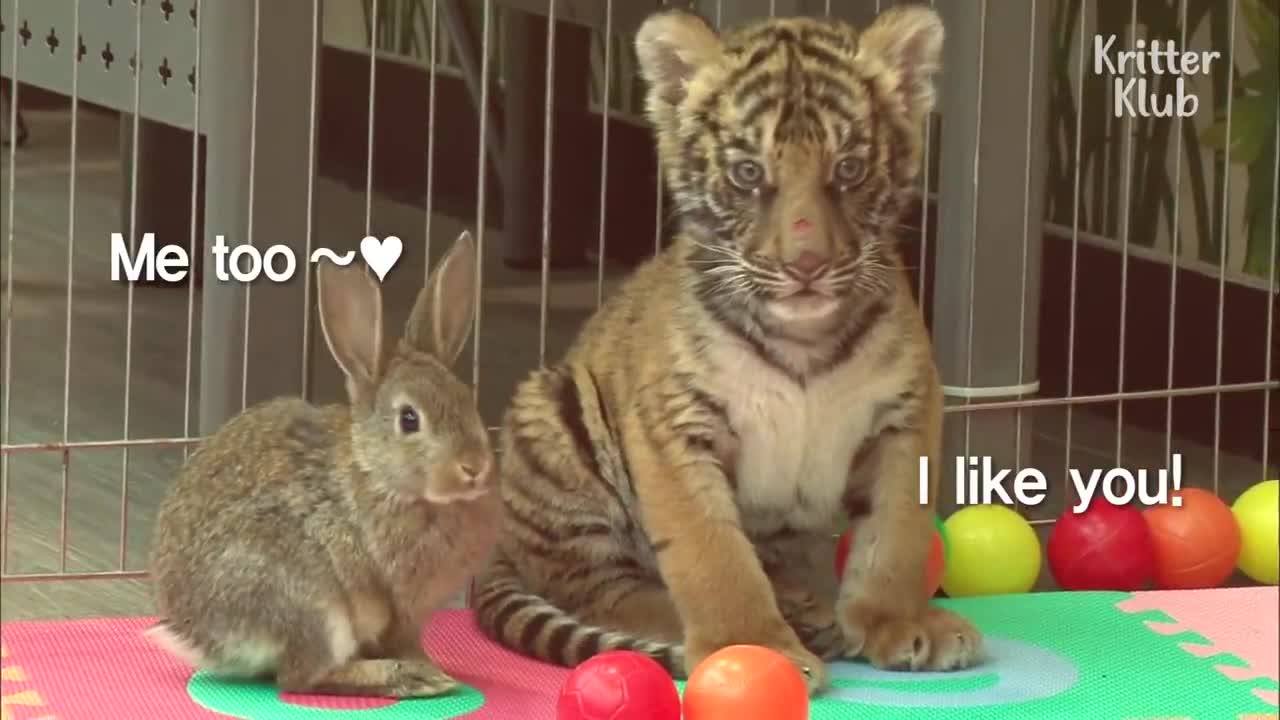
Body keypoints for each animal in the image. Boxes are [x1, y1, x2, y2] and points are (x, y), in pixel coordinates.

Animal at [142, 228, 496, 696]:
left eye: (469, 400)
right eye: (409, 419)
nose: (474, 466)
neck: (377, 475)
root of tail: (201, 634)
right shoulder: (398, 609)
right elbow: (402, 640)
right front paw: (426, 667)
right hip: (313, 603)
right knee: (300, 678)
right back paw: (406, 678)